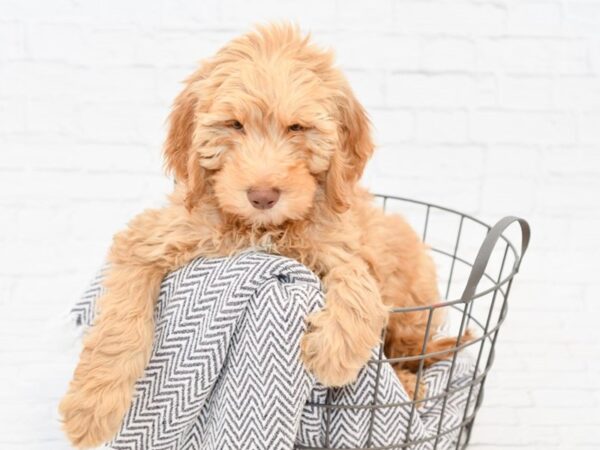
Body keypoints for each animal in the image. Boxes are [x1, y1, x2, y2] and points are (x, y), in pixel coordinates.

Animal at [59, 23, 464, 446]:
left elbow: (360, 287)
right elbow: (120, 324)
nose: (263, 196)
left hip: (412, 302)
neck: (261, 228)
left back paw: (409, 385)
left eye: (297, 127)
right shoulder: (153, 235)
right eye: (235, 124)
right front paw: (91, 407)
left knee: (413, 352)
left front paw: (332, 352)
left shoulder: (343, 243)